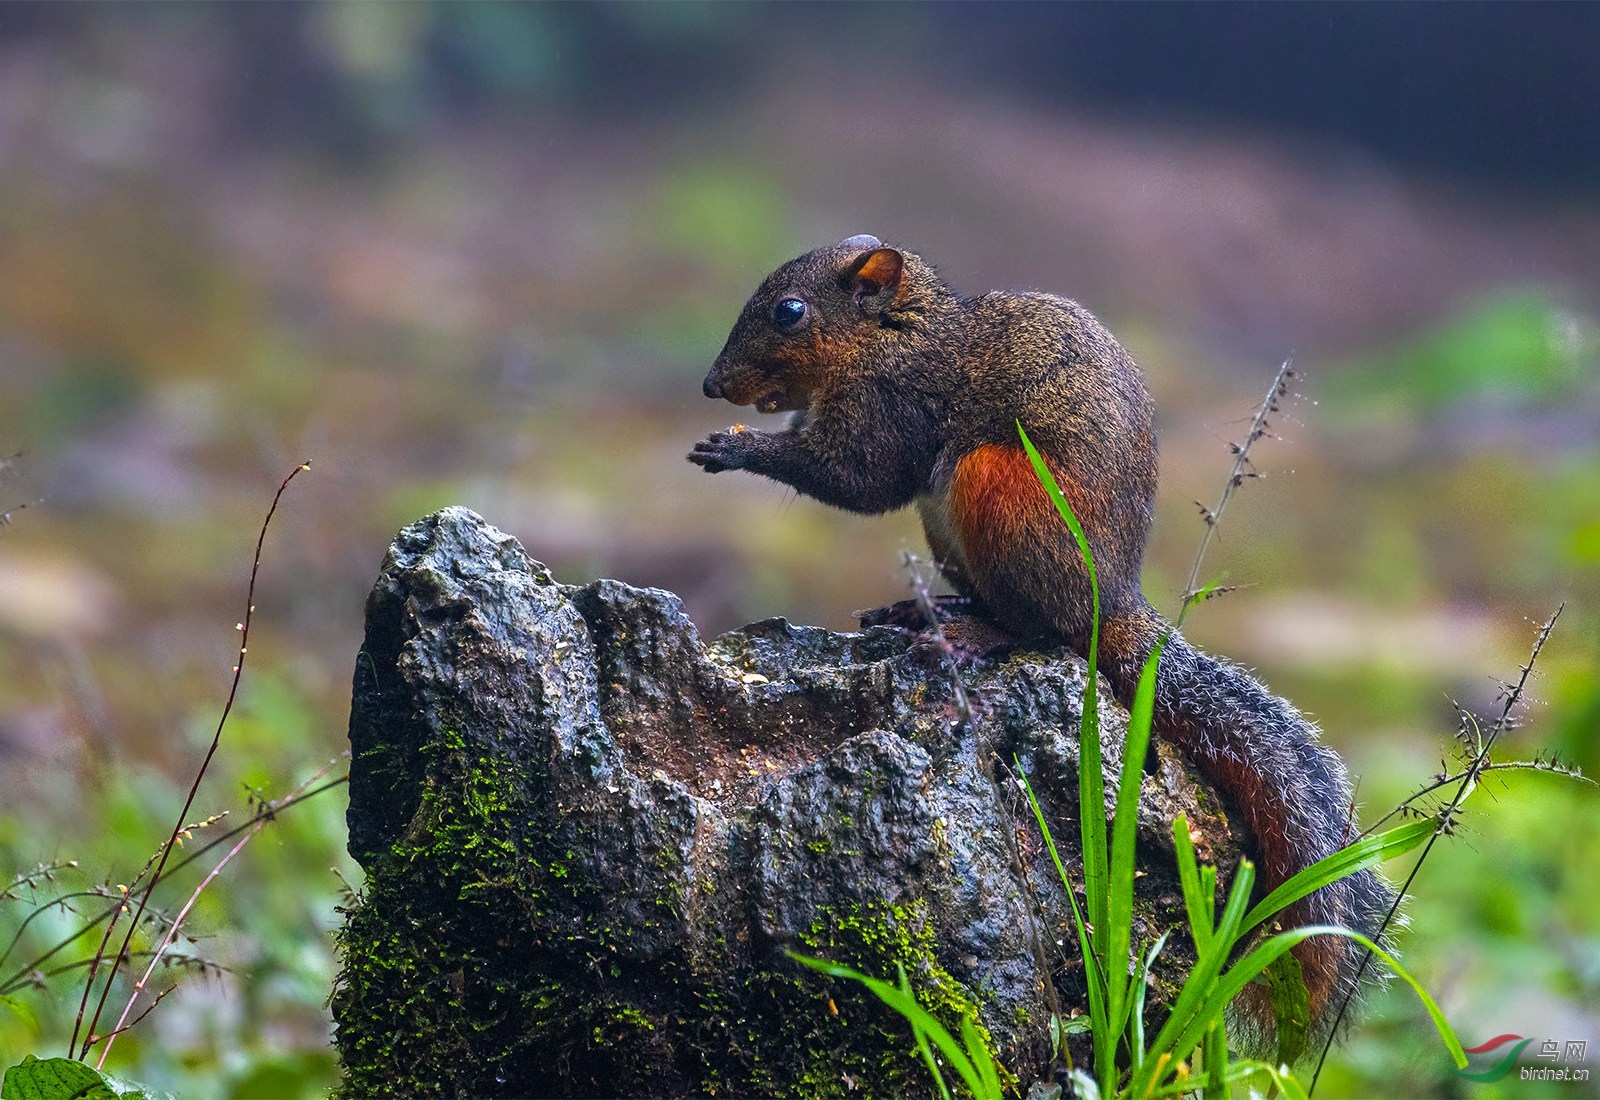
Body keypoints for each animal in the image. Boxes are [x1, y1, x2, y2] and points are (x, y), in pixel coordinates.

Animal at [688, 236, 1401, 1055]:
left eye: (789, 311)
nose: (712, 385)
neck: (895, 336)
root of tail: (1109, 604)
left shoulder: (892, 404)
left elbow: (859, 478)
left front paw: (737, 450)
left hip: (1000, 492)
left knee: (1038, 629)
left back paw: (970, 634)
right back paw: (929, 612)